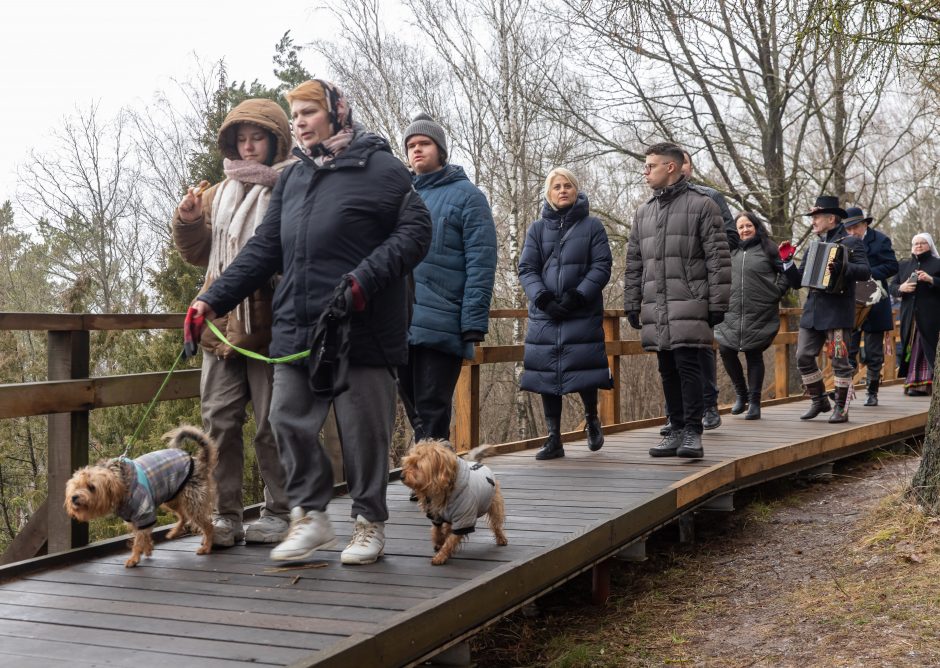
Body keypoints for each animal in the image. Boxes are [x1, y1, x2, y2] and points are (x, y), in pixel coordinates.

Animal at [64, 426, 217, 568]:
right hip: (171, 497)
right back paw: (174, 532)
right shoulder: (135, 519)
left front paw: (134, 558)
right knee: (183, 516)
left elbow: (139, 539)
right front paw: (148, 548)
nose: (74, 497)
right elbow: (143, 535)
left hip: (192, 502)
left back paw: (206, 547)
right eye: (76, 485)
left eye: (91, 487)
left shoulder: (144, 513)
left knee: (208, 525)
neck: (120, 482)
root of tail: (200, 461)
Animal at [402, 440, 510, 568]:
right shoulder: (436, 515)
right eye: (408, 463)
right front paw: (439, 542)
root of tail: (476, 463)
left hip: (494, 504)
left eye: (417, 466)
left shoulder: (463, 520)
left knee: (496, 523)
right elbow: (437, 530)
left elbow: (451, 540)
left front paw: (441, 556)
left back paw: (501, 538)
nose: (401, 476)